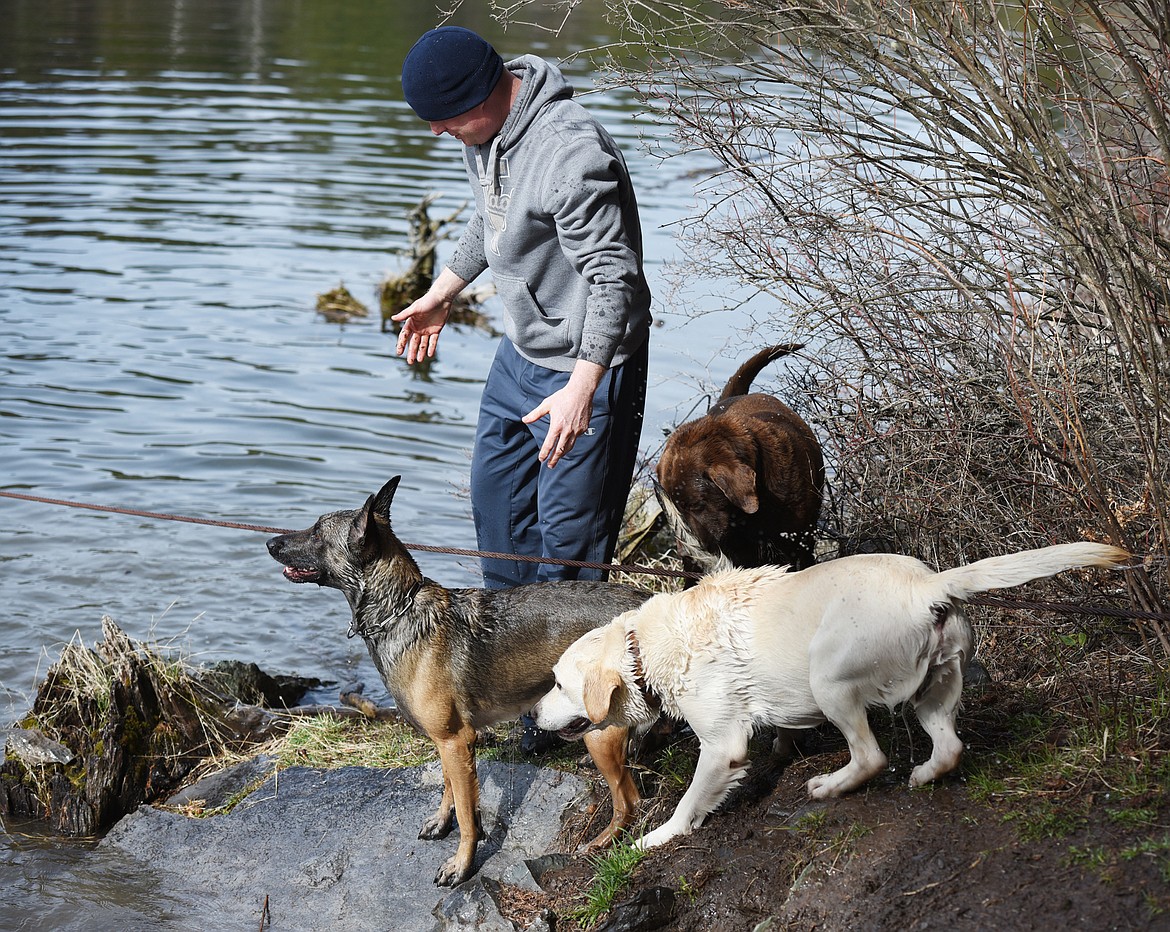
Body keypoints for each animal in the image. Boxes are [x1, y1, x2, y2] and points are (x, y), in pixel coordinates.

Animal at [267, 477, 650, 884]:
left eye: (316, 532)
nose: (270, 543)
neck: (400, 611)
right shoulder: (447, 742)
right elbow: (450, 788)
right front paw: (441, 821)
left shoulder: (457, 740)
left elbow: (468, 815)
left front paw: (461, 864)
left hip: (601, 734)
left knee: (629, 800)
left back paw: (602, 842)